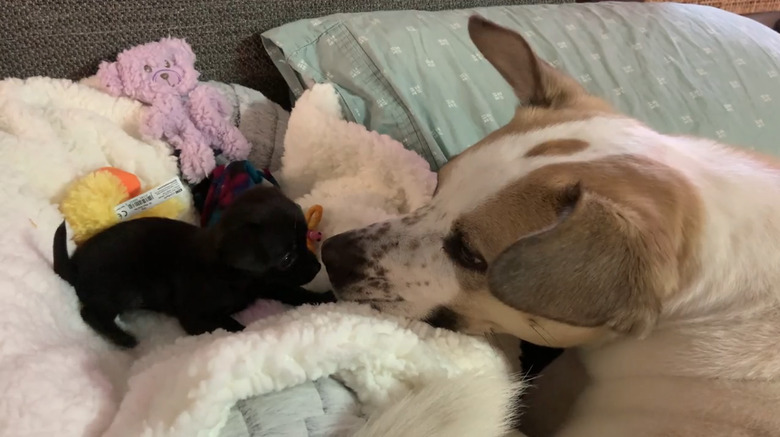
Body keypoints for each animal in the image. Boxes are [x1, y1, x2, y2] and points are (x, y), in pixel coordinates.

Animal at [53, 186, 334, 350]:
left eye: (305, 238)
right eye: (287, 258)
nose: (317, 266)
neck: (232, 275)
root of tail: (74, 264)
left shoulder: (265, 283)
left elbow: (293, 292)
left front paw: (323, 298)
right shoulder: (193, 317)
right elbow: (232, 326)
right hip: (124, 290)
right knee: (89, 313)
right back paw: (122, 338)